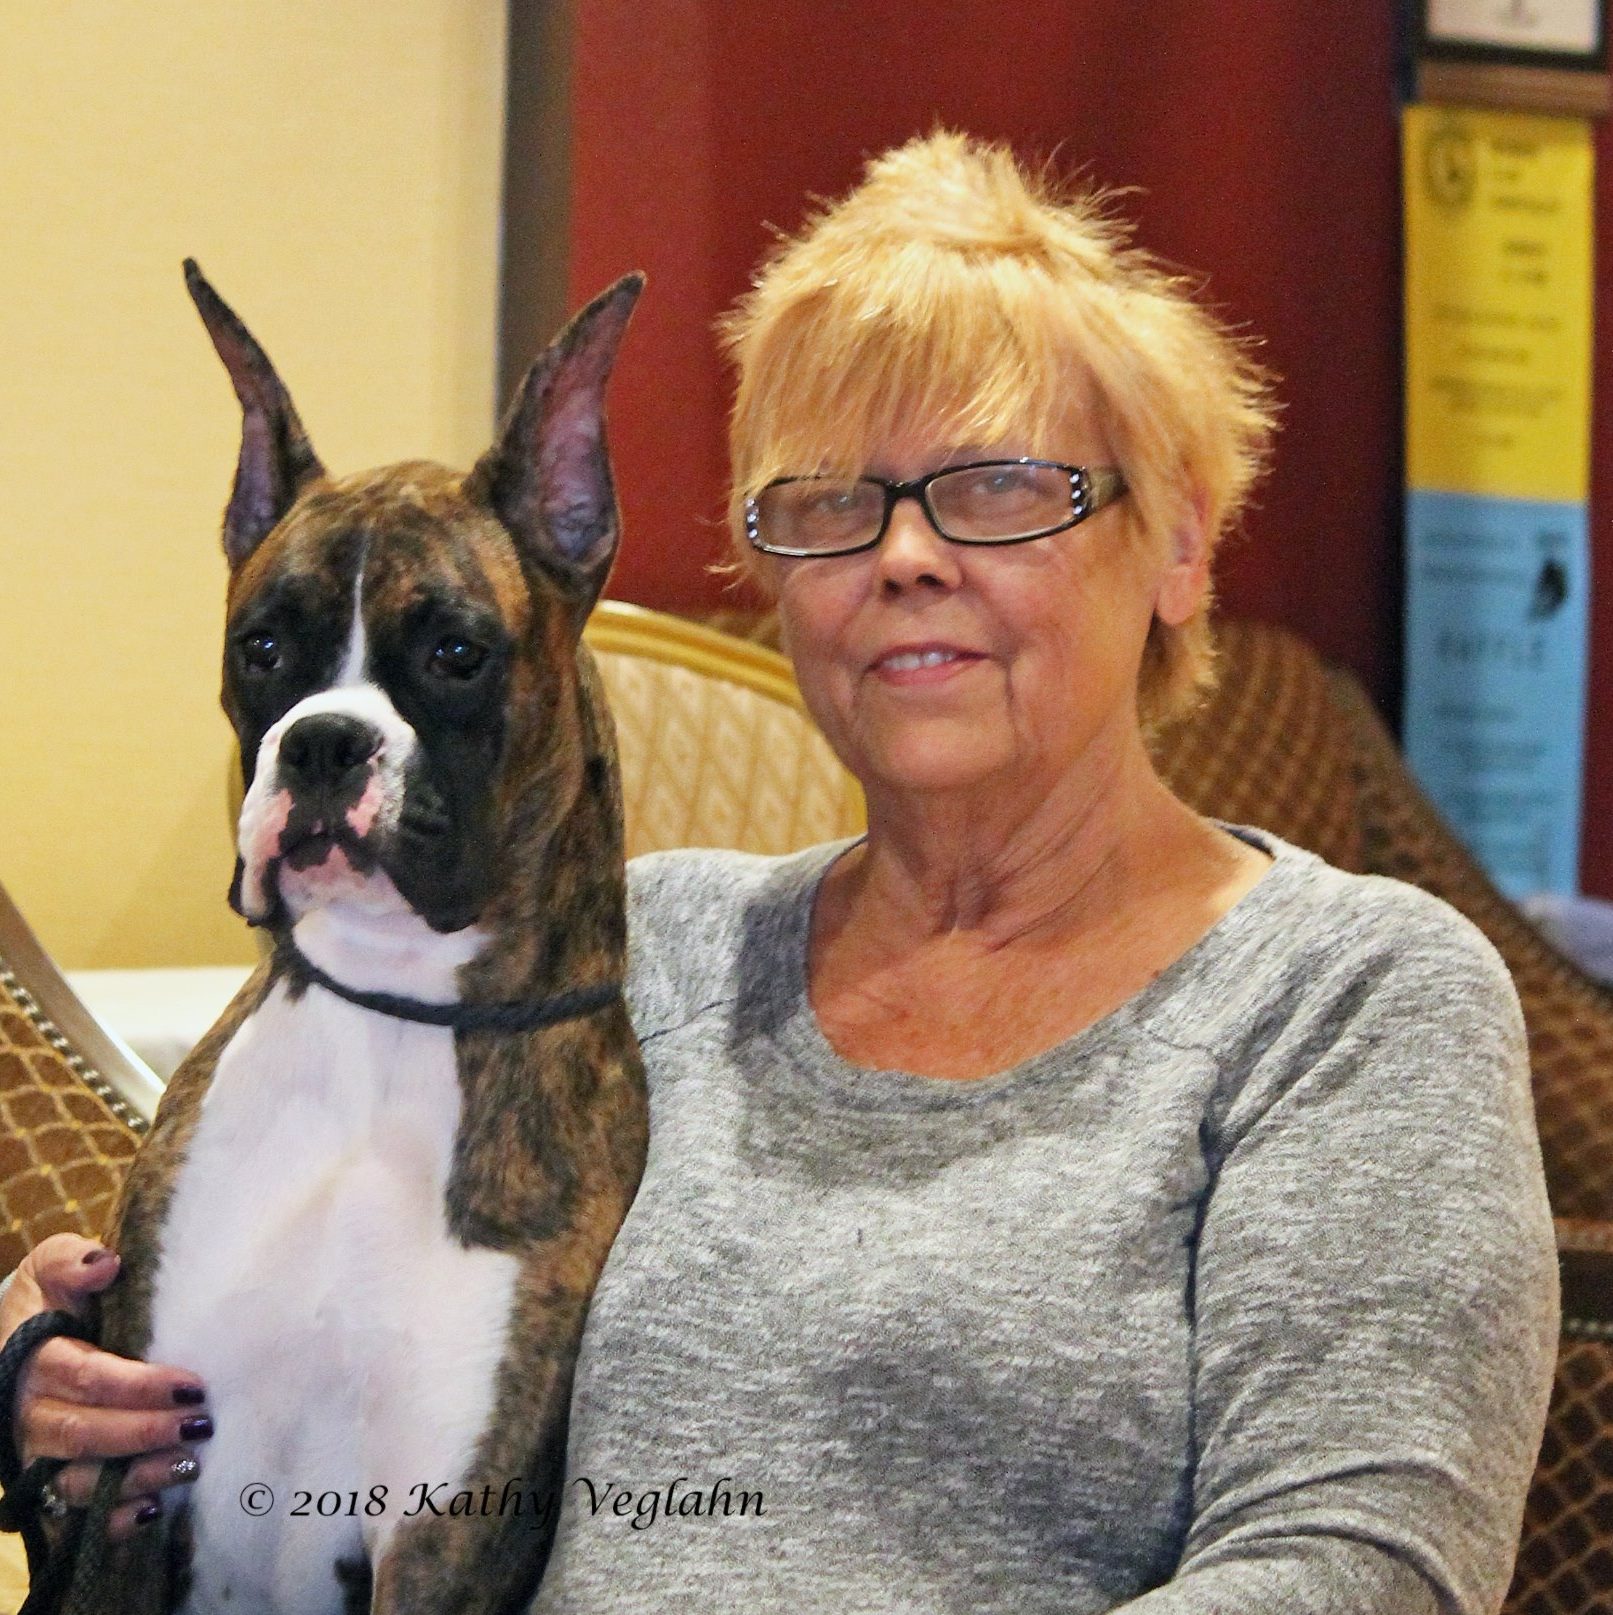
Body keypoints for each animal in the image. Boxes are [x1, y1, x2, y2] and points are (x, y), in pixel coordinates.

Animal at [45, 264, 650, 1615]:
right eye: (260, 648)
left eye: (455, 652)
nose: (322, 741)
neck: (391, 1008)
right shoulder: (134, 1473)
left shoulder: (441, 1534)